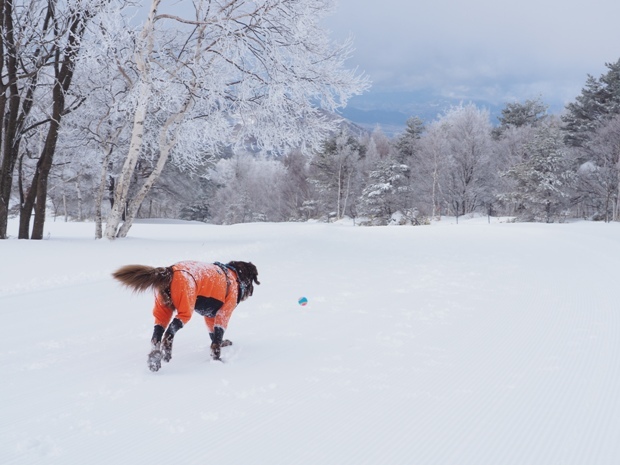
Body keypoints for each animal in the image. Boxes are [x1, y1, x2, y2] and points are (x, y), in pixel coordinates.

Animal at [112, 260, 260, 370]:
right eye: (252, 279)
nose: (252, 291)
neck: (235, 276)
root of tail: (169, 270)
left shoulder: (209, 315)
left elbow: (213, 334)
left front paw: (222, 344)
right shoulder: (223, 313)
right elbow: (217, 338)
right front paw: (217, 359)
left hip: (163, 309)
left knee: (156, 336)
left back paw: (154, 360)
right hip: (186, 307)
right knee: (169, 333)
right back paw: (166, 353)